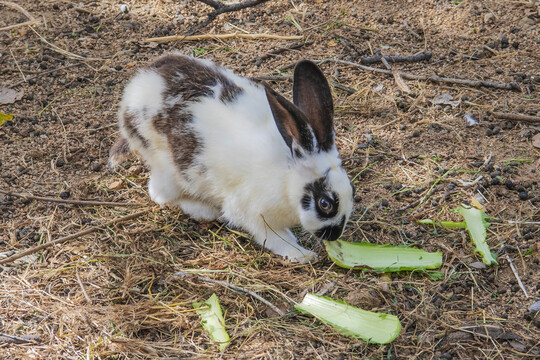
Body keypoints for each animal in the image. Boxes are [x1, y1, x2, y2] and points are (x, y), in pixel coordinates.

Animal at [109, 52, 354, 262]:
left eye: (351, 189)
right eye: (325, 204)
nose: (335, 234)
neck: (287, 178)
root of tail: (133, 93)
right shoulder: (254, 214)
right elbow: (276, 239)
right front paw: (303, 255)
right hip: (168, 168)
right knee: (160, 194)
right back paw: (206, 210)